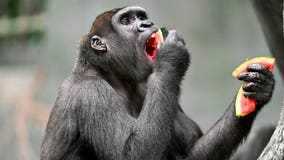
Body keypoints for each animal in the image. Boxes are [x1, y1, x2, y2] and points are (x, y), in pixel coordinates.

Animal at [40, 5, 276, 159]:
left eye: (141, 16)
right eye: (126, 21)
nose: (146, 24)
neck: (112, 73)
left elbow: (193, 154)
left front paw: (258, 89)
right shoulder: (90, 92)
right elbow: (132, 153)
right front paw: (171, 56)